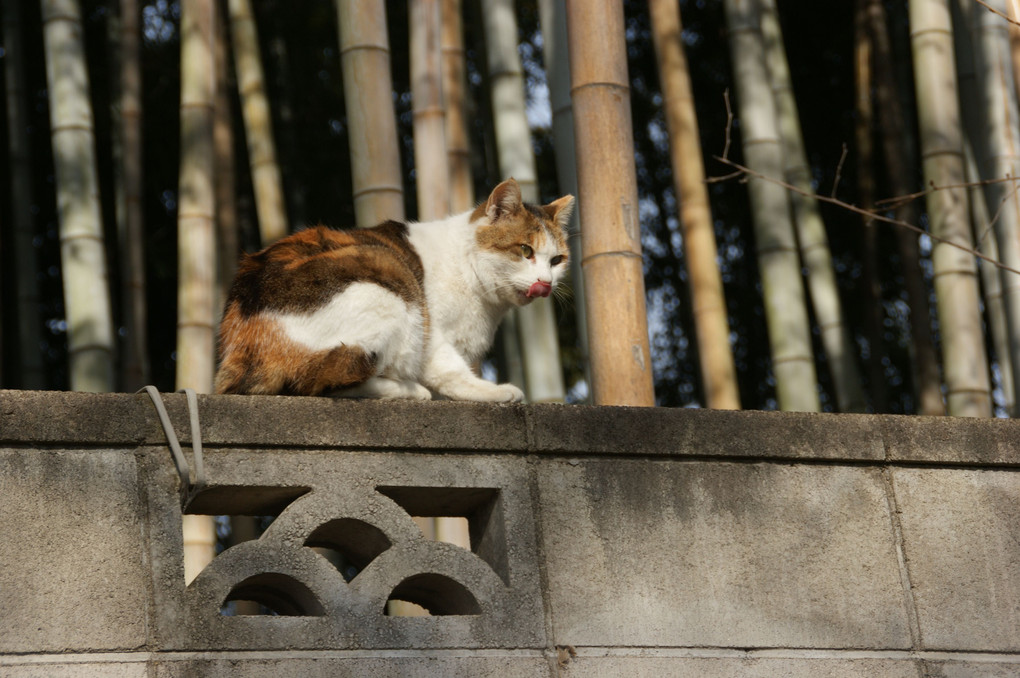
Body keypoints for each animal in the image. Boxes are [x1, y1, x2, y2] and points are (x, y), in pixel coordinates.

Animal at [214, 178, 575, 401]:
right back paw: (410, 390)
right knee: (321, 382)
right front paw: (493, 392)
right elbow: (450, 370)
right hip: (389, 284)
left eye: (557, 260)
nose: (545, 283)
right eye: (525, 251)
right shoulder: (433, 333)